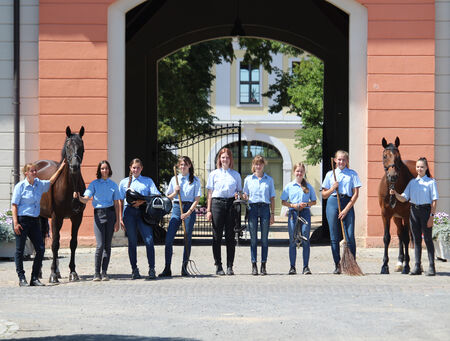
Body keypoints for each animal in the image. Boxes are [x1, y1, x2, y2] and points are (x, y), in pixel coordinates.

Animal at [35, 125, 86, 282]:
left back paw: (56, 271)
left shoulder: (77, 218)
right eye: (68, 146)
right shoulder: (56, 217)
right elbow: (55, 244)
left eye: (81, 146)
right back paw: (40, 272)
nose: (74, 166)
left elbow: (73, 243)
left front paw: (73, 272)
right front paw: (52, 274)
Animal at [376, 137, 414, 272]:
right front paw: (384, 266)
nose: (392, 176)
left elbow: (407, 238)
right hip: (396, 217)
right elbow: (387, 238)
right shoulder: (385, 214)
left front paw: (407, 266)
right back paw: (399, 262)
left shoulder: (407, 215)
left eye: (398, 156)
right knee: (400, 233)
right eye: (384, 156)